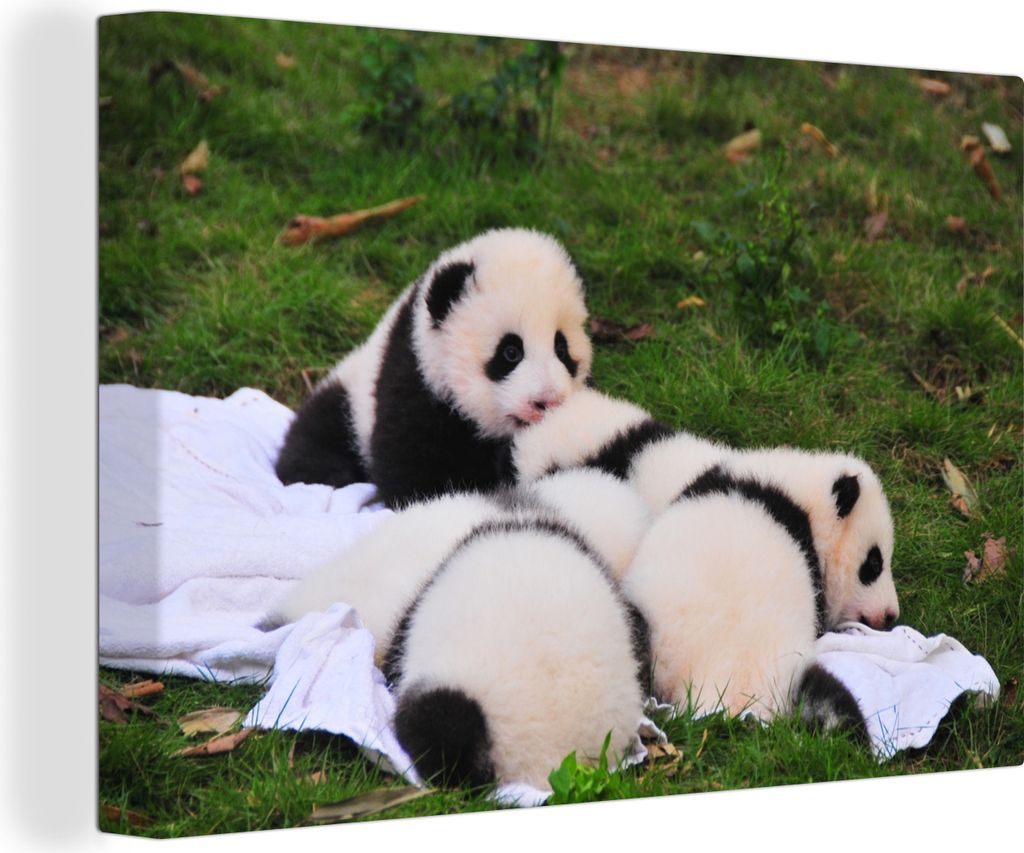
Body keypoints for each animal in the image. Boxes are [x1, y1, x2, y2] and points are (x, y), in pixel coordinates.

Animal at [275, 228, 593, 509]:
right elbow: (417, 474)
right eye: (511, 352)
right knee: (316, 445)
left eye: (561, 349)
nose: (547, 401)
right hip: (350, 403)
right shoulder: (412, 378)